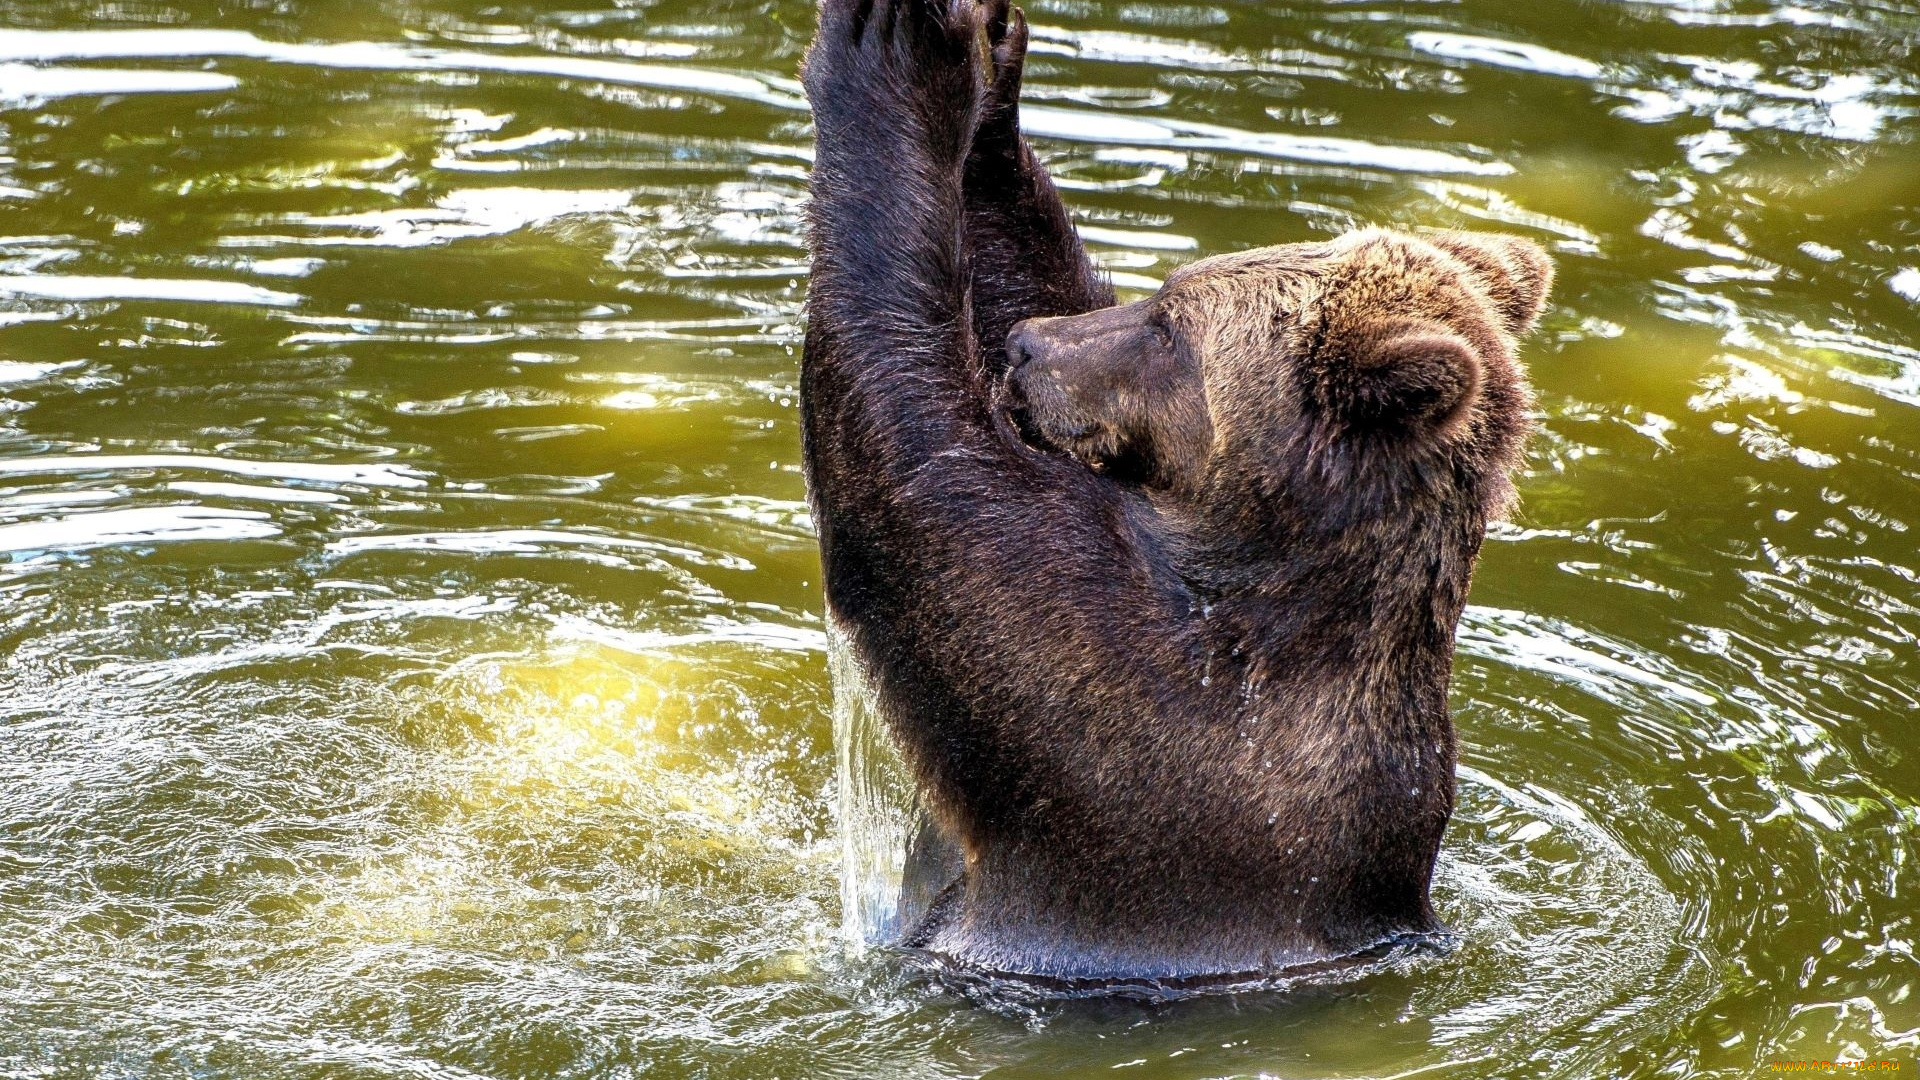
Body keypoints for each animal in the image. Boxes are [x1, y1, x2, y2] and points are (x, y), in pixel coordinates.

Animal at [802, 0, 1551, 983]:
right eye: (1158, 293)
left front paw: (900, 54)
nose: (1028, 347)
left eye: (1169, 331)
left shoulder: (1125, 715)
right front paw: (995, 87)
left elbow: (918, 467)